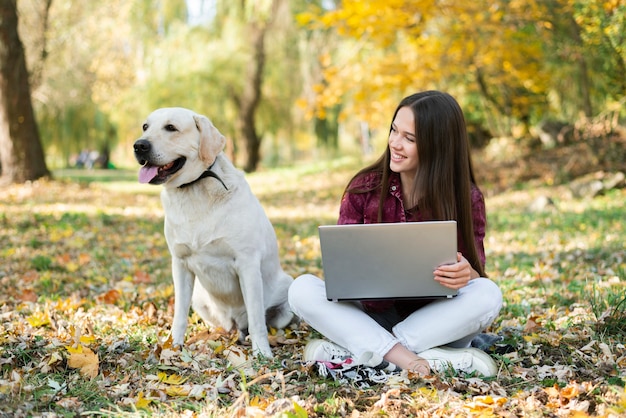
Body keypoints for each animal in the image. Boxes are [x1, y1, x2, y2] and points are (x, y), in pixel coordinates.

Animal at [132, 107, 292, 356]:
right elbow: (179, 315)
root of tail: (235, 322)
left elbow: (257, 319)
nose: (139, 146)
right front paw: (174, 345)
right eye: (145, 127)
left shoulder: (247, 263)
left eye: (171, 128)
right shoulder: (180, 264)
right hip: (199, 298)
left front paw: (262, 353)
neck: (194, 192)